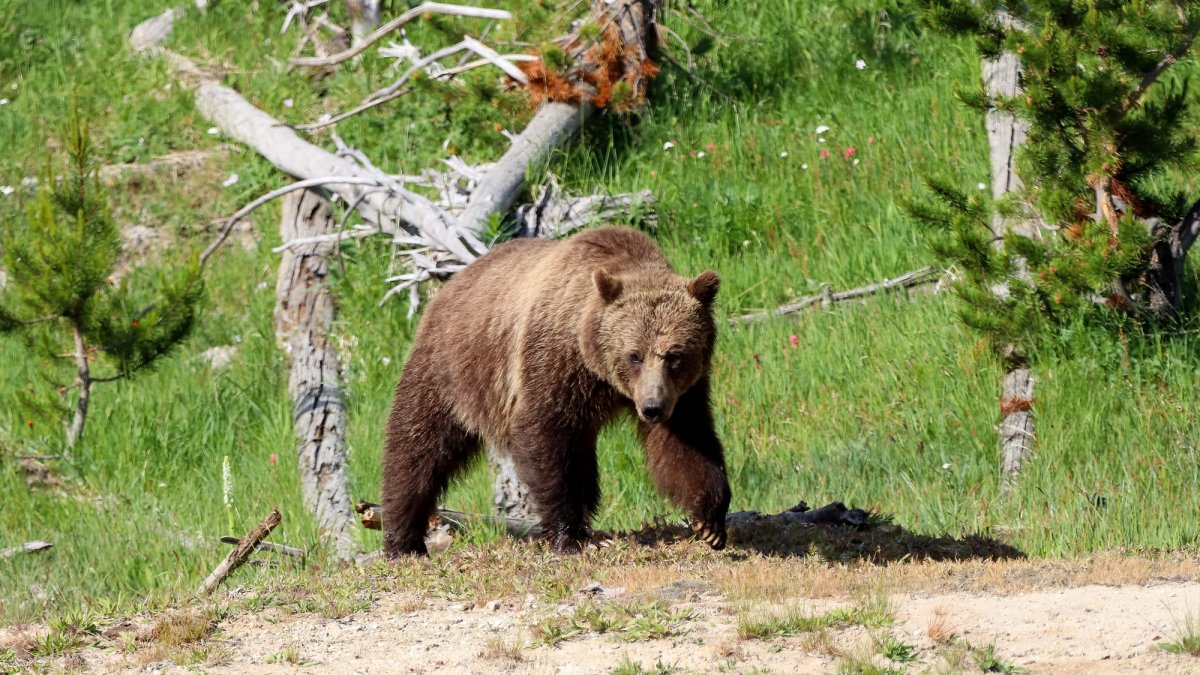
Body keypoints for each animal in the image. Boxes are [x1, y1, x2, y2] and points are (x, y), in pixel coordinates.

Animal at [381, 225, 731, 557]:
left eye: (674, 355)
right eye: (634, 355)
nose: (652, 408)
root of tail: (451, 283)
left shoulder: (683, 391)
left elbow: (687, 440)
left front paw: (710, 521)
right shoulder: (554, 360)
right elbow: (545, 433)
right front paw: (567, 535)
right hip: (453, 369)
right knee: (418, 443)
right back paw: (402, 539)